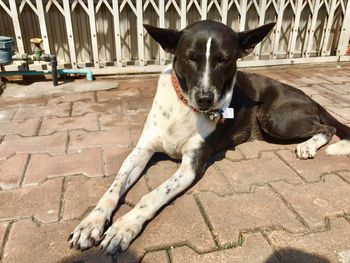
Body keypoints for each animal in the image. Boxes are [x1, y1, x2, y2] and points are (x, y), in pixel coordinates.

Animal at [68, 19, 350, 255]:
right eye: (189, 58)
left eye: (224, 59)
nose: (205, 99)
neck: (184, 108)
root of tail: (309, 97)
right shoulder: (142, 151)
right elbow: (113, 188)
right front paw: (91, 223)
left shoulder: (191, 166)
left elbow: (152, 196)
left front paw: (124, 227)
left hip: (275, 119)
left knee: (328, 128)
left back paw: (308, 147)